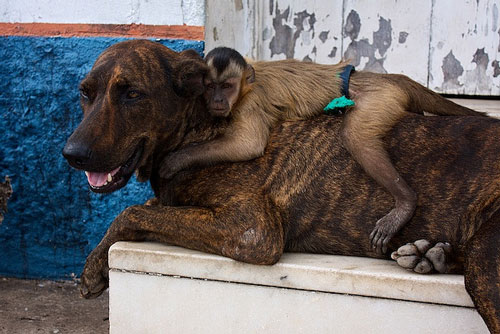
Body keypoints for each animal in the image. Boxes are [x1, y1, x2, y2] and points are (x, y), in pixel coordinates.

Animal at [159, 45, 484, 253]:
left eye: (226, 86)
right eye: (209, 86)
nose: (217, 100)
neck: (246, 87)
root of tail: (386, 78)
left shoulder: (250, 104)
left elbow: (248, 145)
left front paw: (177, 159)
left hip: (381, 98)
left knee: (356, 136)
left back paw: (405, 202)